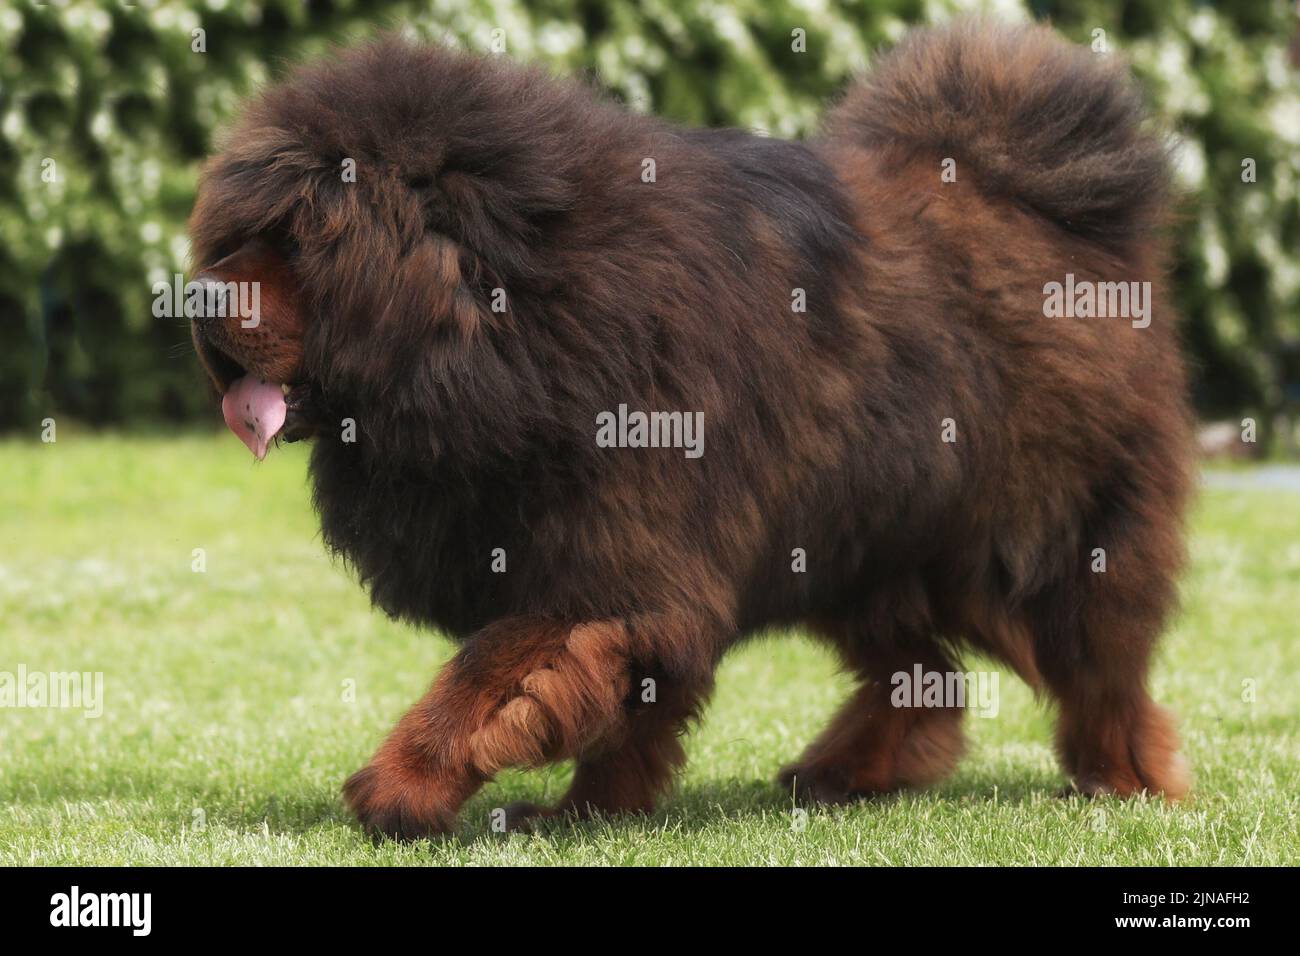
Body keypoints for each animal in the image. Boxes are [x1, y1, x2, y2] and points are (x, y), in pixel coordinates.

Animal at [188, 20, 1190, 837]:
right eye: (235, 237)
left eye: (301, 239)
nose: (194, 295)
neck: (521, 322)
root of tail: (1058, 215)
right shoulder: (633, 578)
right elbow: (620, 707)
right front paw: (584, 812)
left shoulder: (614, 567)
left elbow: (487, 671)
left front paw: (403, 786)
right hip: (851, 544)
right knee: (923, 676)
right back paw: (844, 773)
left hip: (1046, 541)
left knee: (1098, 673)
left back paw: (1123, 782)